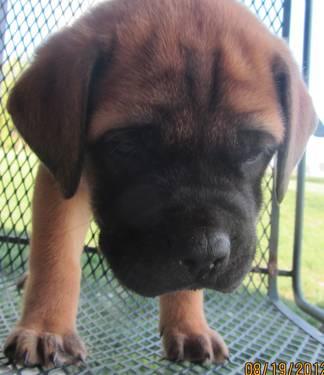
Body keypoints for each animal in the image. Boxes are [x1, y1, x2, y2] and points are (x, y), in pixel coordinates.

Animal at [2, 0, 316, 368]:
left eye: (256, 152)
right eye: (127, 146)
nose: (206, 251)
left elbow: (185, 284)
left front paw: (189, 325)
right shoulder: (62, 179)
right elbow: (56, 256)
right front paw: (46, 328)